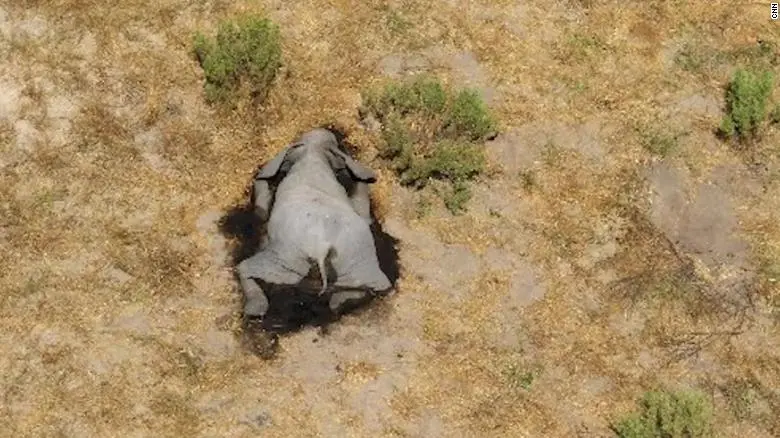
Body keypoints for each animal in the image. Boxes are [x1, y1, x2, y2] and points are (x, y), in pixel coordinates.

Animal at [237, 128, 393, 319]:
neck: (312, 153)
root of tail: (322, 249)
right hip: (358, 260)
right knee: (378, 285)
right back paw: (340, 303)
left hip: (285, 260)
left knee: (245, 268)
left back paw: (254, 310)